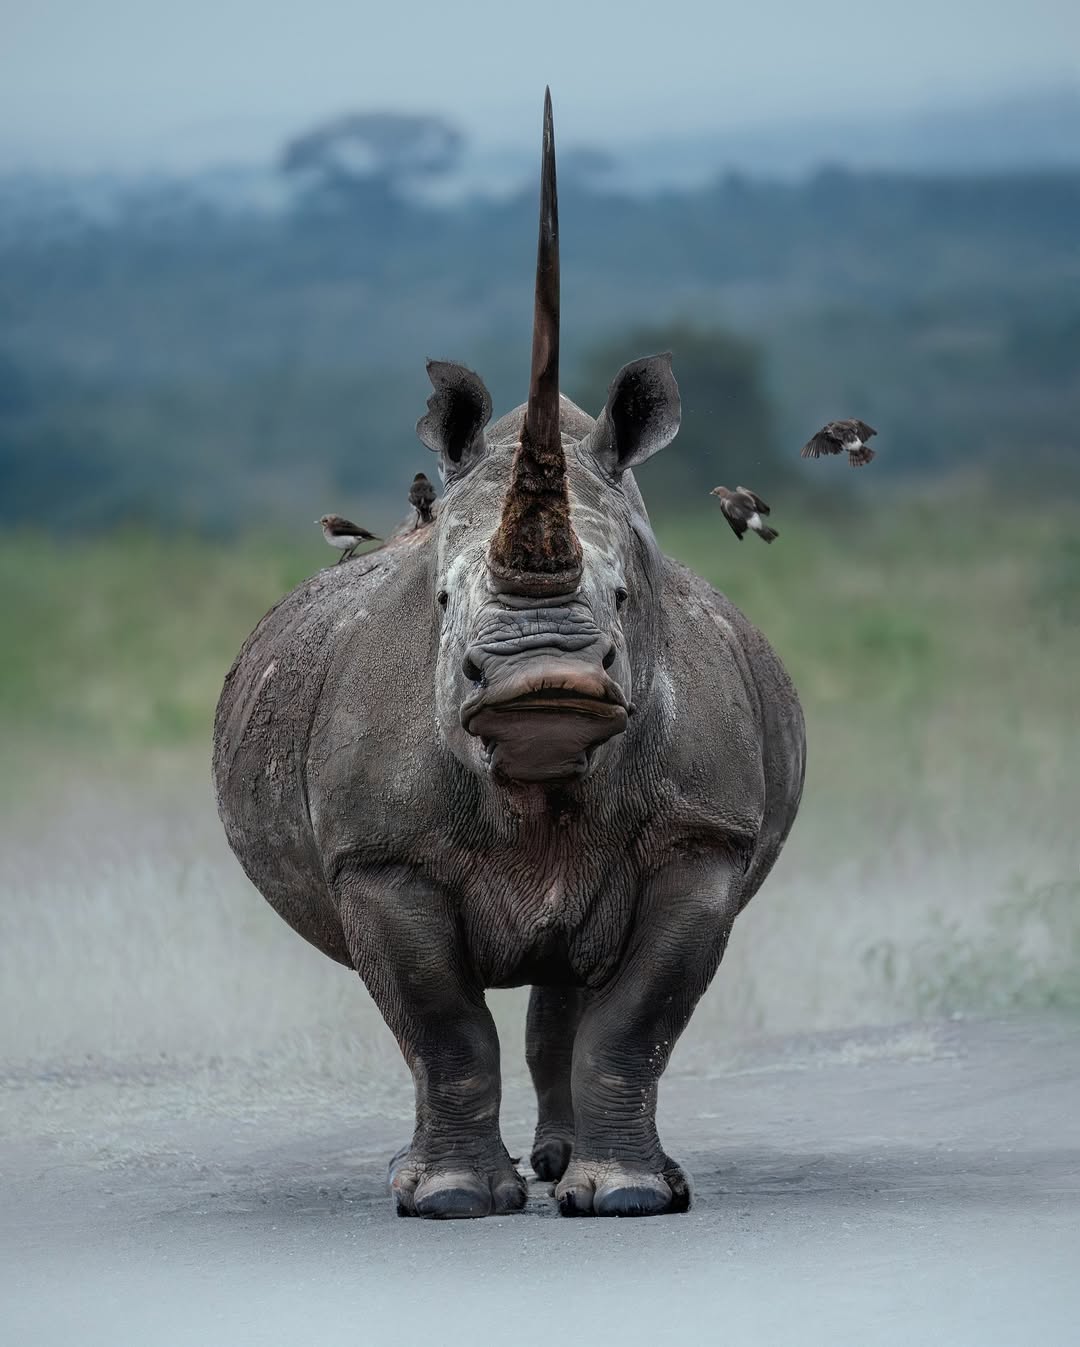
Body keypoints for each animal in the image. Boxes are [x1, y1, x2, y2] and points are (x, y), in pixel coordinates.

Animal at [213, 90, 805, 1220]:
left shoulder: (704, 835)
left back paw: (589, 1173)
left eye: (624, 598)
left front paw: (626, 1195)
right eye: (443, 602)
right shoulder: (379, 853)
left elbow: (635, 1021)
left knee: (570, 988)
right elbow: (441, 1025)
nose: (544, 684)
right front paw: (450, 1200)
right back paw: (423, 1179)